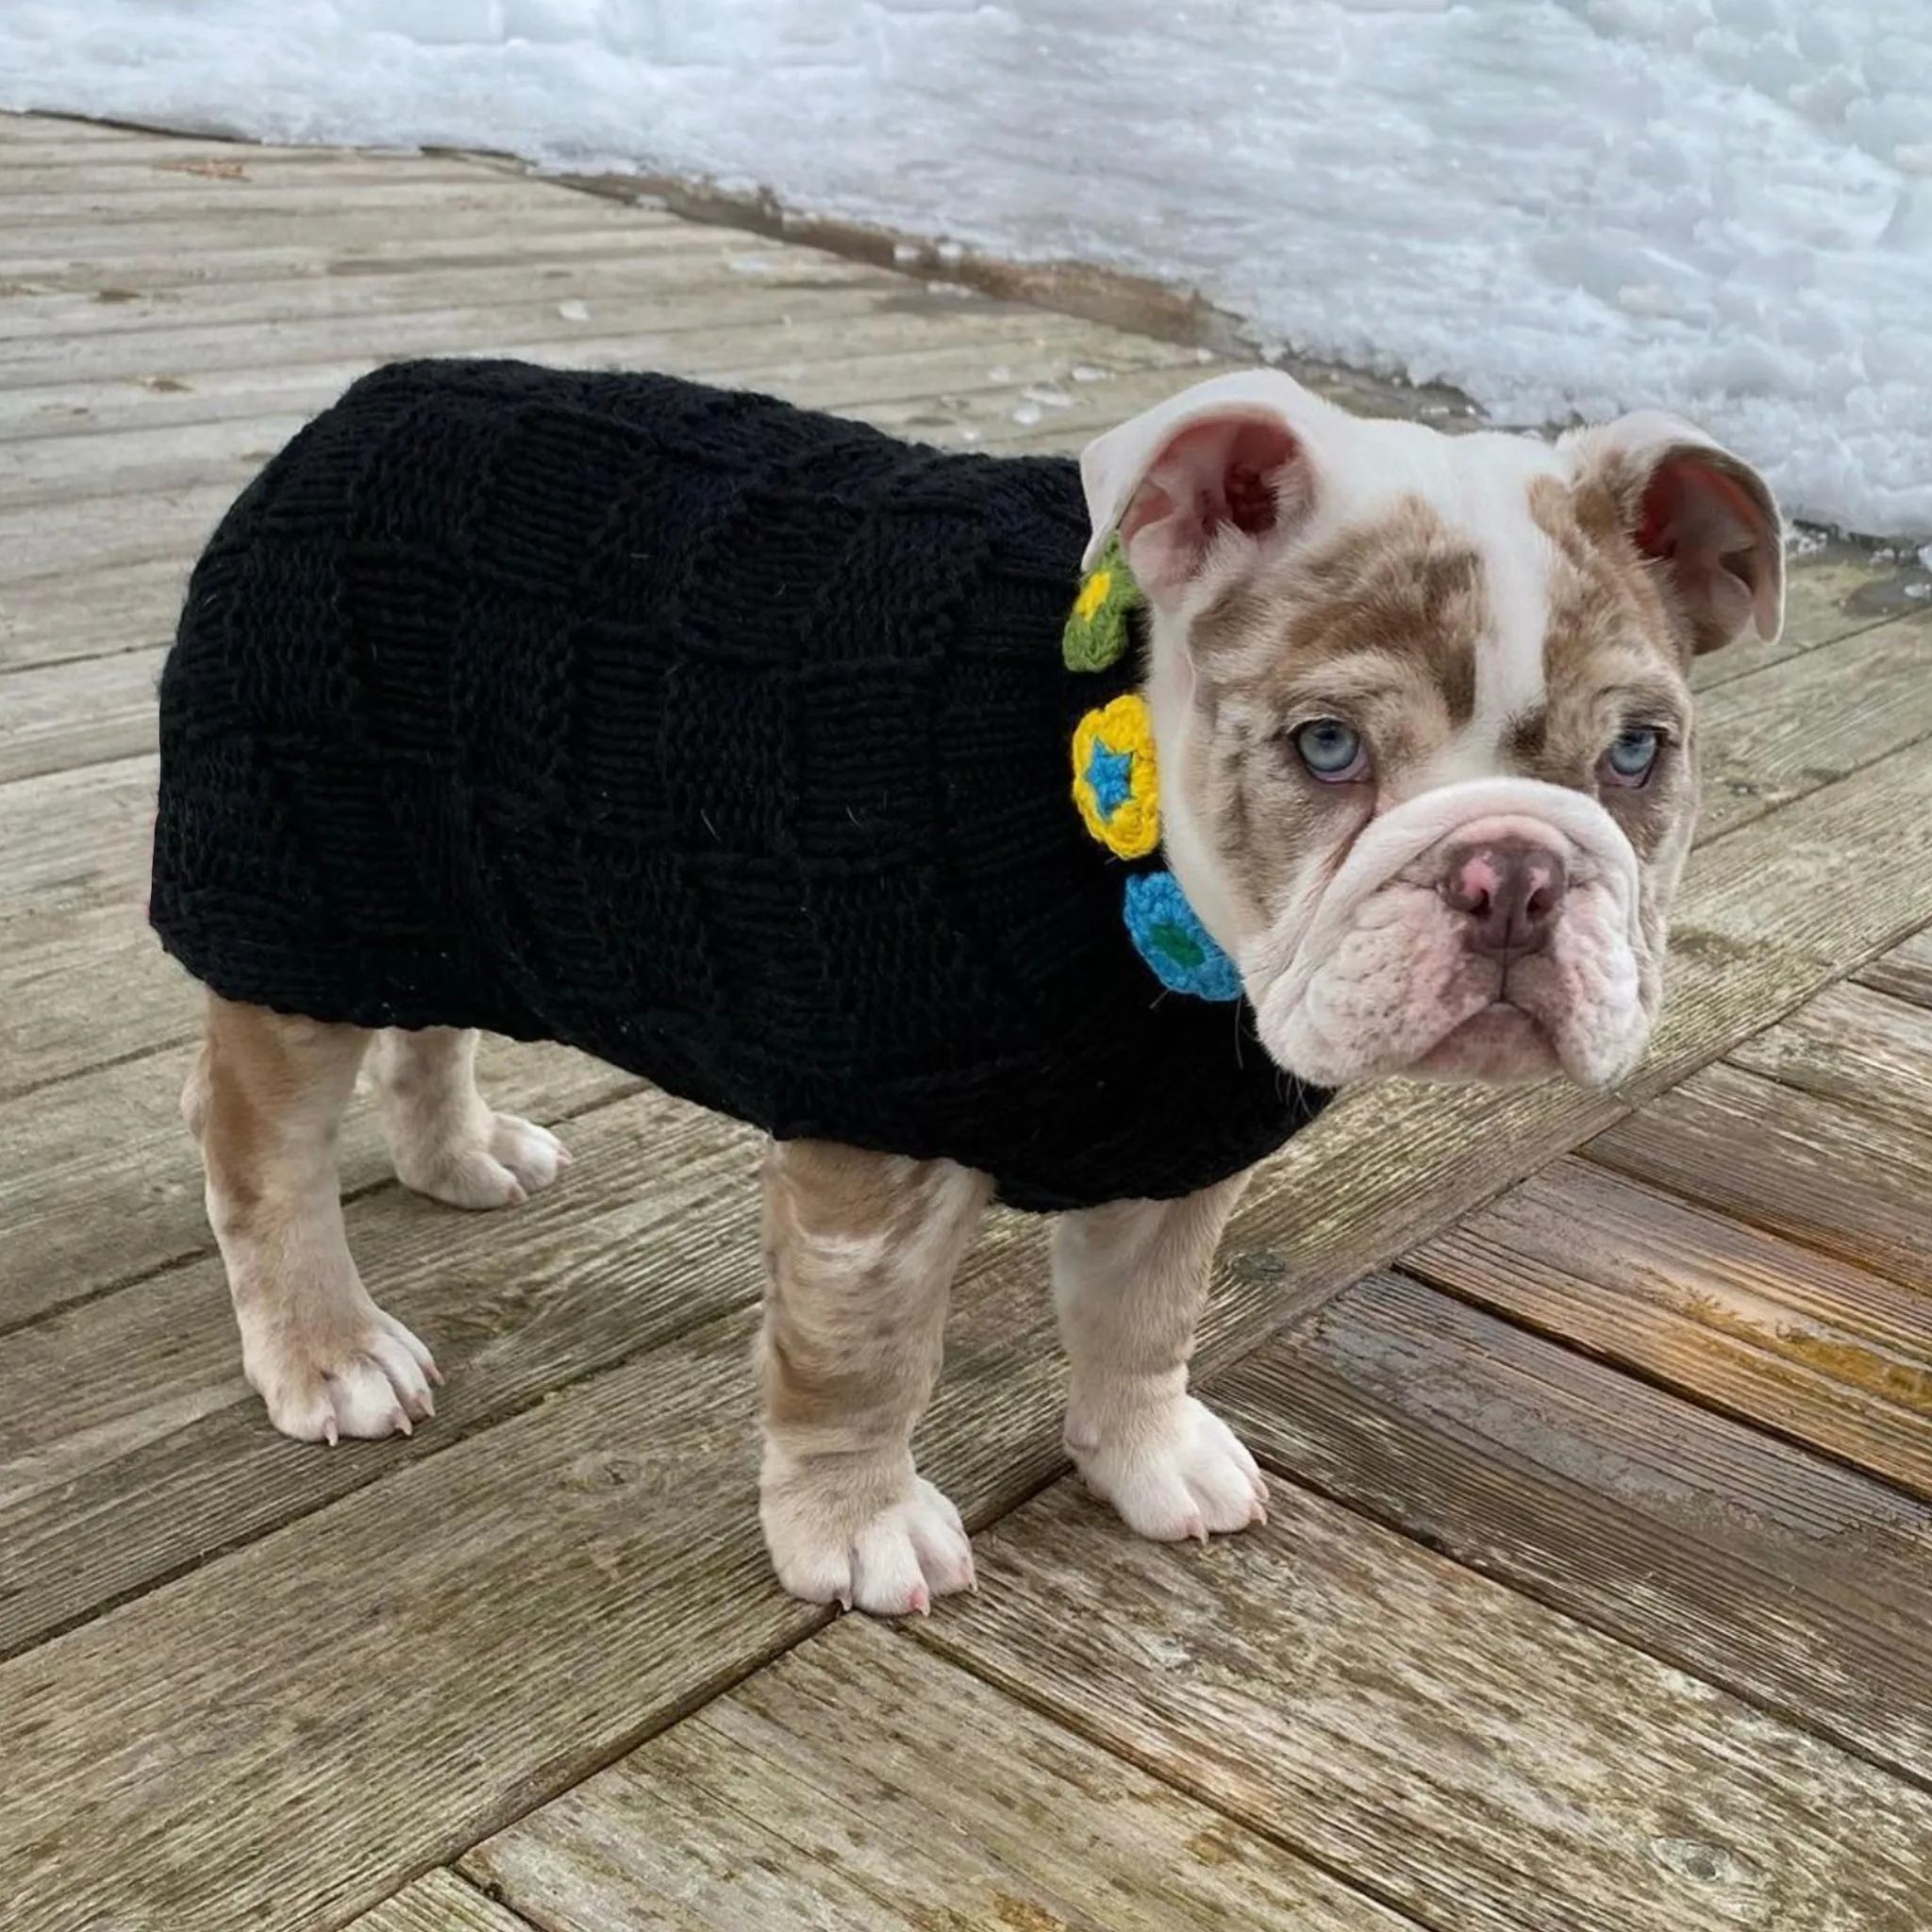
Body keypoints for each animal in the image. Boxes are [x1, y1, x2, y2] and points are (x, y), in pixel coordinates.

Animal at [166, 363, 1777, 1615]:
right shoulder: (872, 1170)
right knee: (256, 1150)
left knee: (429, 1015)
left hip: (434, 872)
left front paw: (1147, 1457)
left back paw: (459, 1158)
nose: (1513, 874)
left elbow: (1146, 1324)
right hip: (295, 888)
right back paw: (328, 1350)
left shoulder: (1172, 1153)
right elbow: (858, 1364)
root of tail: (352, 412)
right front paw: (856, 1527)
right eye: (1327, 748)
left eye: (1638, 755)